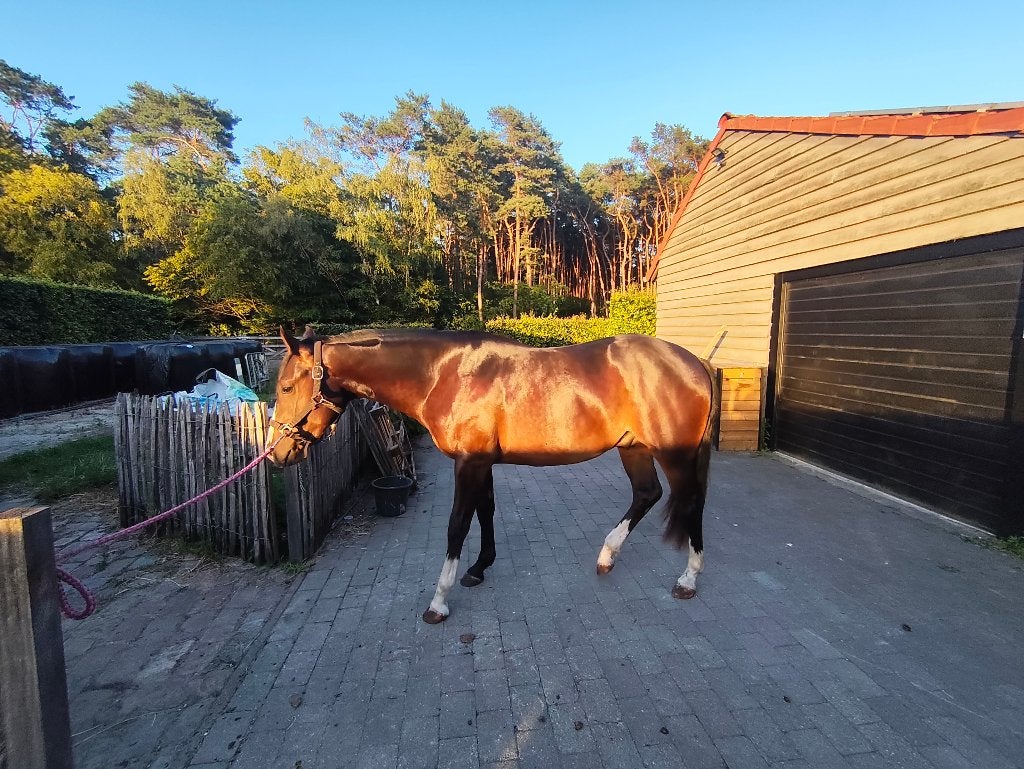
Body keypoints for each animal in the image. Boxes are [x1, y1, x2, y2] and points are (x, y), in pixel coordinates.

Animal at [268, 326, 716, 624]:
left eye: (286, 388)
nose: (277, 454)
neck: (444, 375)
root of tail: (695, 363)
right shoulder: (480, 463)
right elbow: (485, 512)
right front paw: (478, 568)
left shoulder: (469, 463)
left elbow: (457, 524)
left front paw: (439, 602)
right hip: (633, 448)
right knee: (647, 494)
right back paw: (607, 556)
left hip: (673, 454)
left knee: (690, 501)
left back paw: (689, 579)